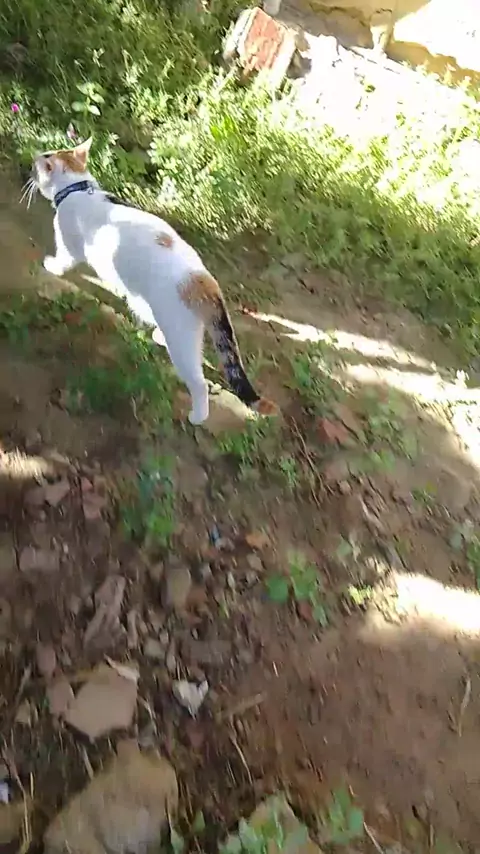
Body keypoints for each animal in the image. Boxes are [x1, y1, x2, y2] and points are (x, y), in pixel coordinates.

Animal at [30, 137, 277, 425]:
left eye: (39, 166)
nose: (33, 162)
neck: (77, 189)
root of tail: (206, 282)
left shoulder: (70, 246)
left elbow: (64, 259)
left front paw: (52, 266)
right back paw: (159, 335)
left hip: (181, 343)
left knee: (199, 382)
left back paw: (197, 416)